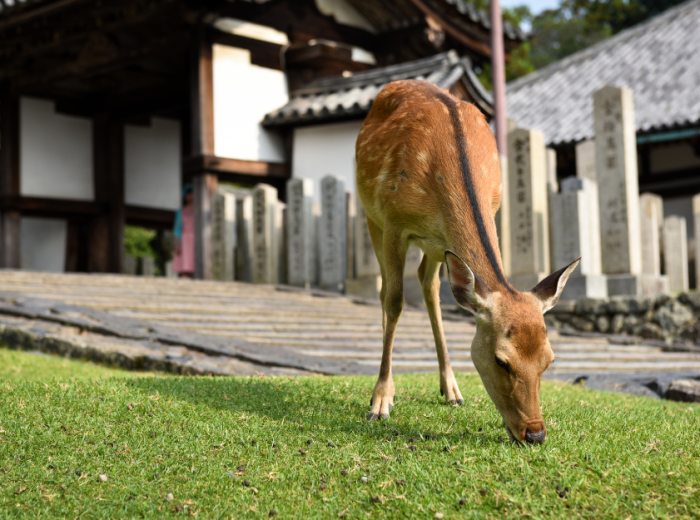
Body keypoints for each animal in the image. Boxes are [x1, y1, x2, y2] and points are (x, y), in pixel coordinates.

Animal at [355, 79, 579, 445]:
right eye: (501, 361)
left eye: (549, 360)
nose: (535, 433)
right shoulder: (393, 221)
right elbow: (395, 301)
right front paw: (380, 402)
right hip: (371, 215)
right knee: (387, 289)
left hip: (437, 245)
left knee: (429, 284)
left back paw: (452, 389)